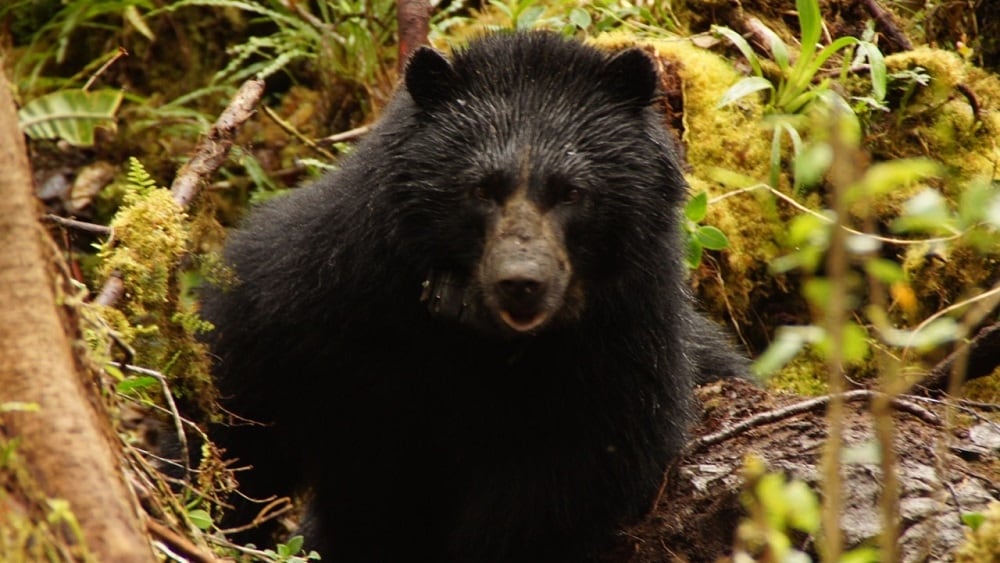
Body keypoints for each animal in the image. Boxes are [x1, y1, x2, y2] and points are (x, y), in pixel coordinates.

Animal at [199, 30, 748, 562]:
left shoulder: (625, 344)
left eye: (572, 192)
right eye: (482, 189)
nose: (522, 282)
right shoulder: (314, 296)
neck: (478, 339)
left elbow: (574, 476)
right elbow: (237, 408)